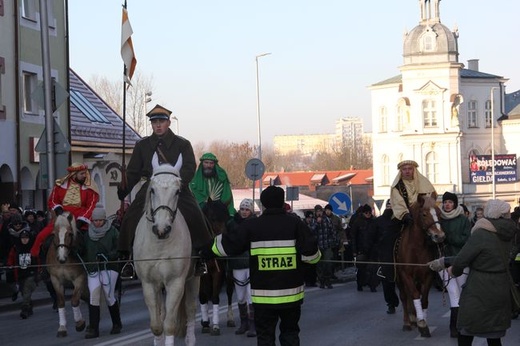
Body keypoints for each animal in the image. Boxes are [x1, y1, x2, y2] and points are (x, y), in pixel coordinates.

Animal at [133, 159, 200, 346]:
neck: (160, 244)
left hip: (193, 279)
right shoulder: (149, 284)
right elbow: (157, 326)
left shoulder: (175, 283)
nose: (161, 229)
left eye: (177, 191)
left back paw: (190, 339)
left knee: (190, 310)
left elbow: (169, 325)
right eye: (152, 189)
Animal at [396, 195, 444, 338]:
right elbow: (415, 295)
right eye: (424, 214)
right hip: (399, 279)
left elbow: (424, 299)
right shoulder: (406, 275)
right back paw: (407, 322)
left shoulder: (428, 274)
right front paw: (421, 323)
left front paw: (423, 322)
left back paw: (414, 318)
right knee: (404, 297)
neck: (416, 247)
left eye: (439, 213)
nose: (440, 236)